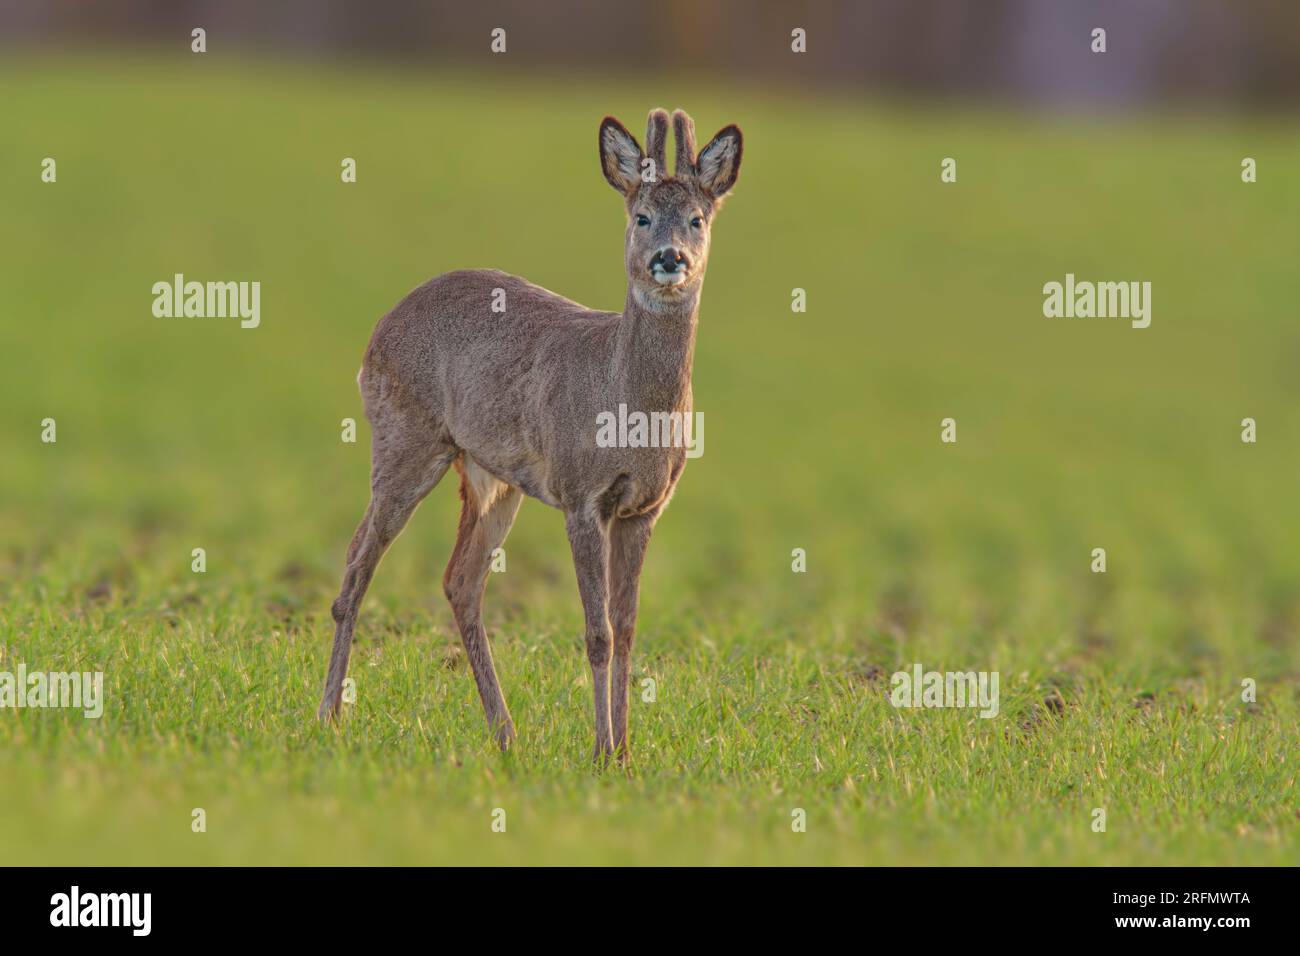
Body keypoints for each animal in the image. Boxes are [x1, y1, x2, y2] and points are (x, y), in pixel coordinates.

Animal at [317, 106, 743, 764]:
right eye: (641, 216)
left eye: (698, 218)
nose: (670, 258)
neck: (626, 403)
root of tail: (379, 327)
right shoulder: (581, 493)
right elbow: (597, 633)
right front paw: (600, 750)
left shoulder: (645, 507)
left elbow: (628, 628)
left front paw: (624, 751)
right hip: (404, 439)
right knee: (360, 557)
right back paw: (329, 714)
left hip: (491, 476)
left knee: (460, 581)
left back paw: (504, 731)